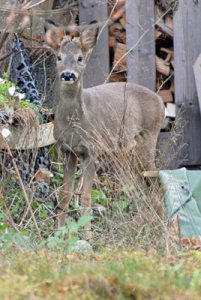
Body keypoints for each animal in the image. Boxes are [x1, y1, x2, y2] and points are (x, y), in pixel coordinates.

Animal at [44, 21, 166, 237]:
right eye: (59, 57)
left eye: (80, 58)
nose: (68, 74)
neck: (75, 123)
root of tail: (161, 102)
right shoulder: (67, 151)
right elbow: (66, 194)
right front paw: (59, 234)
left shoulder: (92, 150)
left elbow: (85, 195)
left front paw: (88, 237)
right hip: (129, 153)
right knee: (141, 185)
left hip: (148, 141)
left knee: (155, 182)